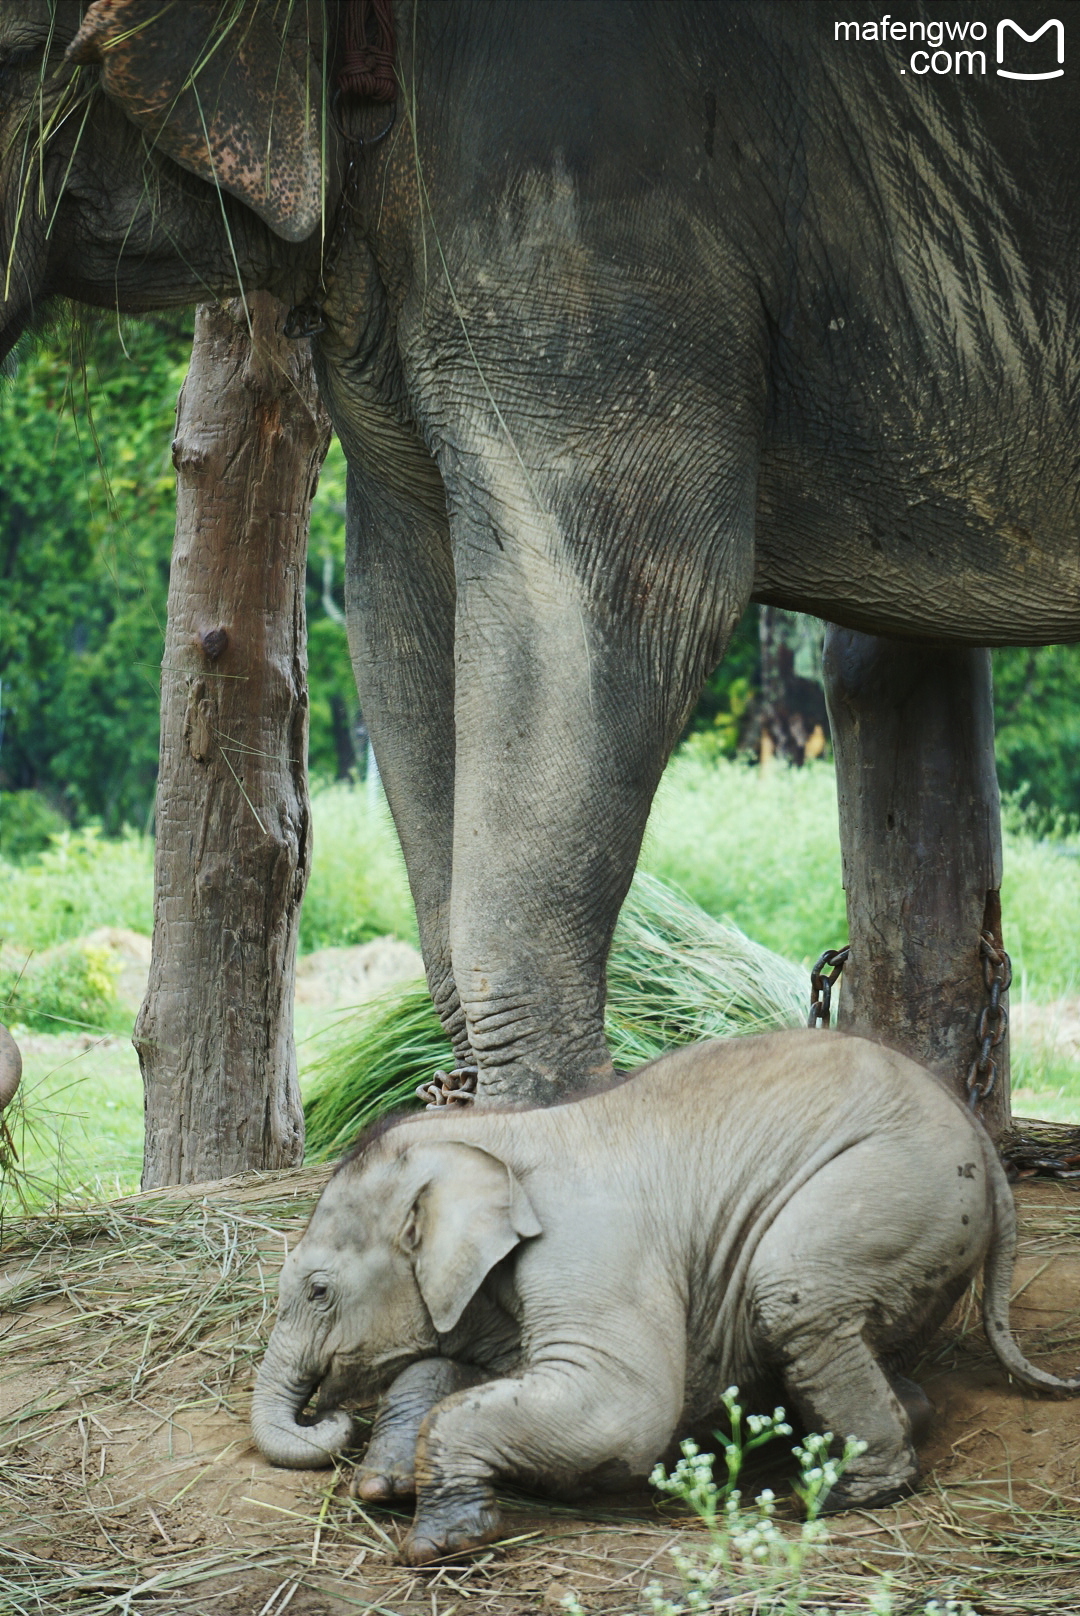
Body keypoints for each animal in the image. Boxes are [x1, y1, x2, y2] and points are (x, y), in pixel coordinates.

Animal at [250, 1034, 1080, 1564]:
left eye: (318, 1290)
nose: (325, 1420)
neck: (493, 1131)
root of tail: (985, 1144)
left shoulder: (591, 1246)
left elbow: (626, 1407)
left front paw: (437, 1545)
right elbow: (463, 1375)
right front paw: (383, 1485)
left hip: (894, 1189)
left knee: (792, 1295)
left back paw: (837, 1495)